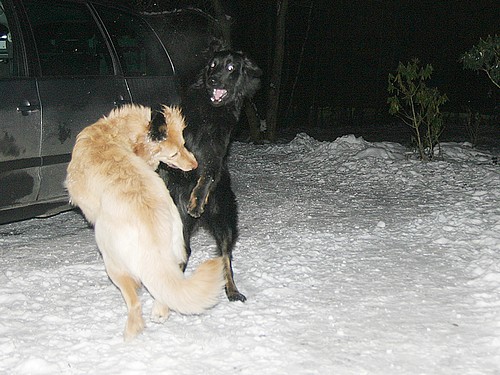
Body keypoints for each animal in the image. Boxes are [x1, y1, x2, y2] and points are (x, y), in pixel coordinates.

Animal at [66, 104, 225, 342]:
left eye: (183, 145)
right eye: (177, 150)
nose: (196, 164)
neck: (114, 134)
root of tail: (153, 229)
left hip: (112, 261)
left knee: (135, 300)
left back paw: (131, 332)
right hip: (174, 246)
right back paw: (160, 311)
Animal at [159, 42, 262, 304]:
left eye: (231, 67)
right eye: (213, 65)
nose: (213, 79)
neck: (209, 113)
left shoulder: (214, 155)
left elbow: (207, 175)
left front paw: (196, 201)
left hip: (224, 221)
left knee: (226, 257)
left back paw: (232, 289)